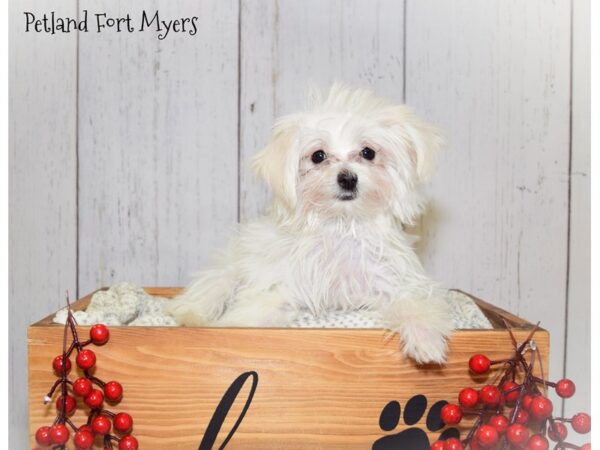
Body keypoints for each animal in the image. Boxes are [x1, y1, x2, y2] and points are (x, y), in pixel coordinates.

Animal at [164, 85, 450, 366]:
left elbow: (413, 302)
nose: (348, 178)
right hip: (228, 268)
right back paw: (191, 315)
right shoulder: (281, 286)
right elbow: (255, 311)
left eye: (368, 152)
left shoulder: (391, 281)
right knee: (206, 292)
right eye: (318, 156)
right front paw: (230, 329)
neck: (341, 226)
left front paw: (426, 339)